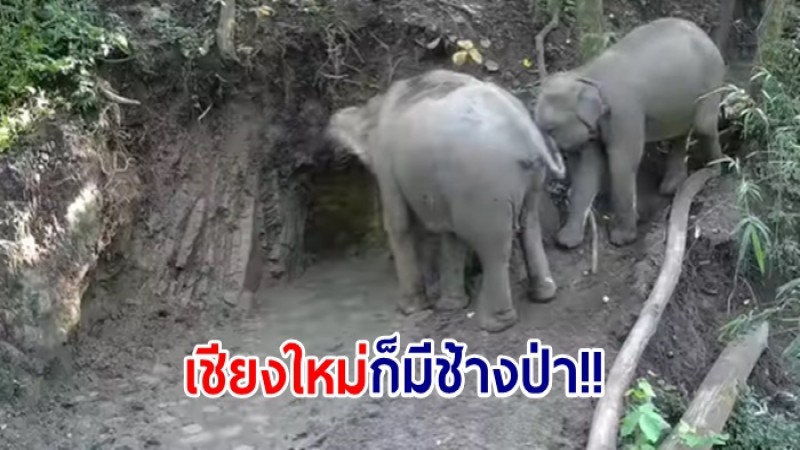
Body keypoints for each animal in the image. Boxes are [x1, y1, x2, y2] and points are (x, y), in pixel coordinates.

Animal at [326, 68, 568, 332]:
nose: (329, 124)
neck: (375, 108)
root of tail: (525, 130)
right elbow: (450, 235)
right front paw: (451, 306)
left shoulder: (385, 163)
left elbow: (399, 224)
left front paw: (411, 309)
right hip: (530, 179)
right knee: (528, 225)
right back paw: (543, 295)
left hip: (487, 186)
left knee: (494, 246)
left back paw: (495, 323)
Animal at [532, 17, 724, 248]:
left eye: (550, 129)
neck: (586, 75)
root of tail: (705, 34)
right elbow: (588, 169)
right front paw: (567, 241)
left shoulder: (625, 112)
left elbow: (621, 163)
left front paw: (621, 239)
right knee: (681, 131)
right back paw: (671, 186)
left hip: (712, 79)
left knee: (704, 125)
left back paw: (716, 171)